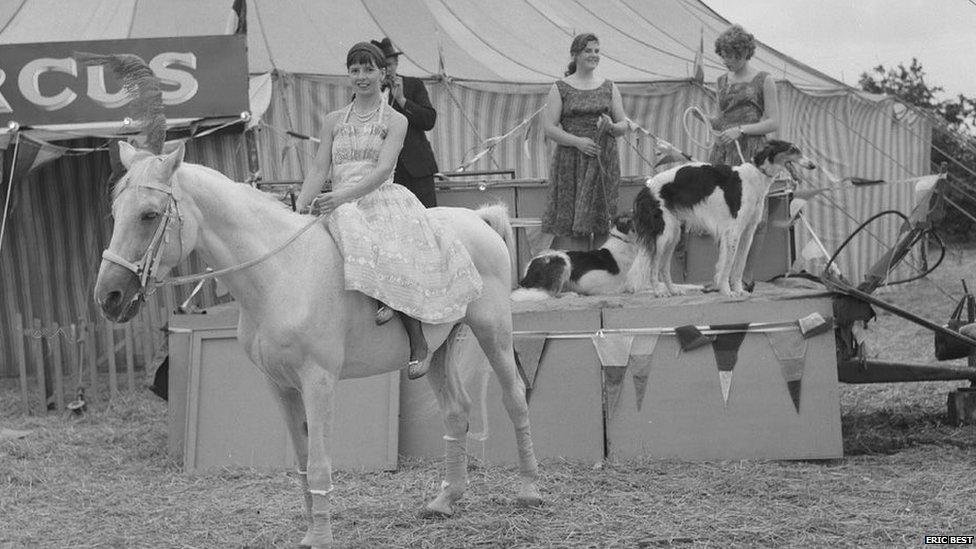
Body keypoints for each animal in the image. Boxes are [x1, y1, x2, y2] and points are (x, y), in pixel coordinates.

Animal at [93, 142, 540, 548]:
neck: (281, 274)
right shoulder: (280, 385)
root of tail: (479, 219)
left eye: (149, 215)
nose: (108, 298)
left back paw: (529, 492)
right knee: (456, 412)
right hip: (437, 349)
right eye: (115, 213)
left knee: (515, 400)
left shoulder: (318, 381)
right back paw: (446, 499)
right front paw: (311, 531)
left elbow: (321, 463)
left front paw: (322, 537)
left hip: (494, 332)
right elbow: (303, 461)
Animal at [510, 213, 640, 300]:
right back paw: (571, 294)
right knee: (552, 293)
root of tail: (528, 272)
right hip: (562, 261)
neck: (624, 241)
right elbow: (624, 289)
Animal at [624, 139, 816, 298]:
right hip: (663, 234)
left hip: (674, 234)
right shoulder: (733, 231)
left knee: (663, 268)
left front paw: (739, 291)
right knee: (654, 267)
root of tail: (646, 187)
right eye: (793, 149)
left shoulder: (748, 231)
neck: (756, 175)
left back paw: (673, 290)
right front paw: (727, 291)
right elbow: (727, 265)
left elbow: (738, 266)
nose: (813, 165)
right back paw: (659, 292)